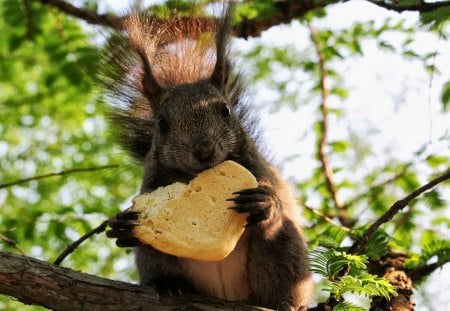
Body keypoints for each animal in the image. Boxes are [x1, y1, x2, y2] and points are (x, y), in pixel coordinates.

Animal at [103, 3, 312, 311]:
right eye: (161, 124)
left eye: (225, 111)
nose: (203, 150)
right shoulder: (151, 182)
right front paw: (123, 226)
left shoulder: (258, 169)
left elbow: (275, 199)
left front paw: (264, 202)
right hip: (156, 261)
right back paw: (169, 284)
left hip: (284, 253)